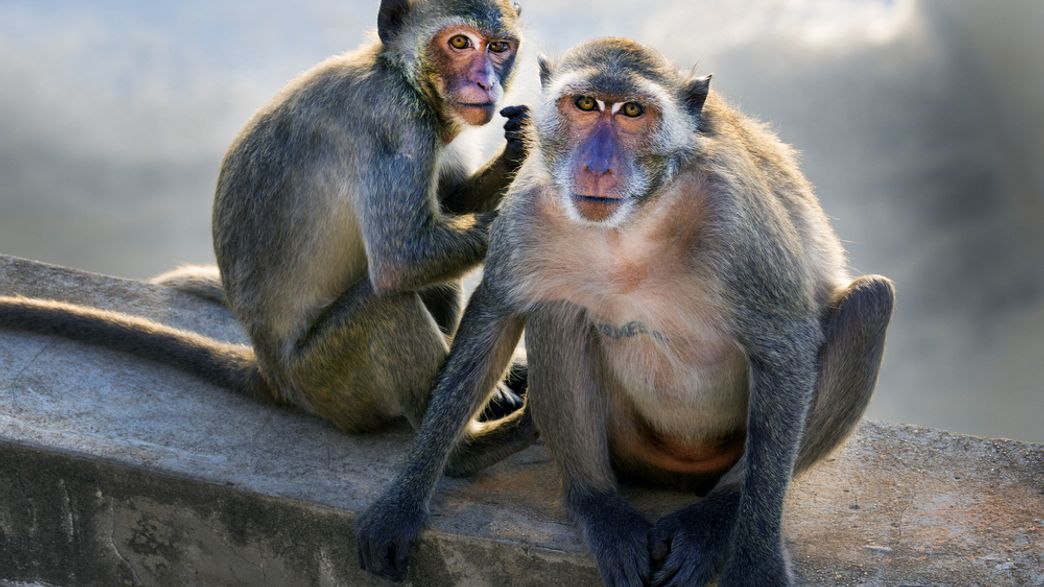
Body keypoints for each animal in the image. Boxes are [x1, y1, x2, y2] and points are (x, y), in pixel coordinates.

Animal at [0, 0, 533, 442]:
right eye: (459, 43)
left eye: (499, 47)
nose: (485, 83)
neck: (400, 76)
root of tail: (271, 371)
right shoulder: (395, 124)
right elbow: (402, 259)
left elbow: (443, 209)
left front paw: (521, 149)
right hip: (327, 379)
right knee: (387, 302)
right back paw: (469, 448)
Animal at [355, 38, 895, 586]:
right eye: (585, 104)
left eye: (633, 111)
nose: (597, 167)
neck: (632, 222)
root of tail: (678, 471)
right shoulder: (528, 207)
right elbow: (493, 321)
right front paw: (403, 501)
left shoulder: (736, 217)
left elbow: (784, 348)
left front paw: (756, 560)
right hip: (630, 446)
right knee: (557, 305)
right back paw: (598, 504)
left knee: (871, 303)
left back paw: (715, 516)